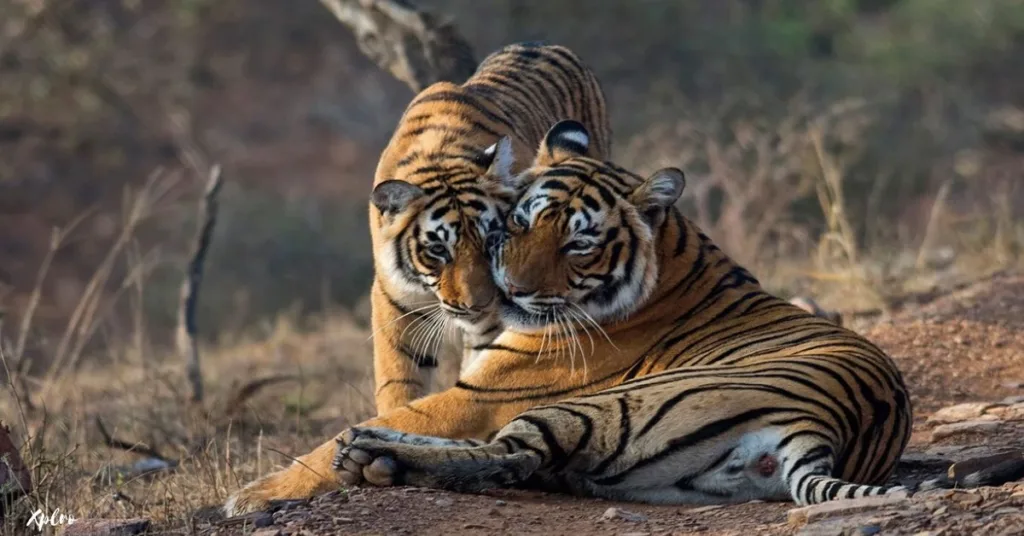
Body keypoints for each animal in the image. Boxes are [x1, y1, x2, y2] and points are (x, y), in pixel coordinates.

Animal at [224, 121, 913, 516]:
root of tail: (824, 429)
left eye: (579, 244)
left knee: (510, 455)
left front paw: (251, 495)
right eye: (518, 222)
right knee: (517, 459)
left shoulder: (487, 390)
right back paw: (374, 456)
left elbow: (396, 419)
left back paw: (369, 454)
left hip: (605, 405)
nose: (508, 290)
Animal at [366, 43, 610, 416]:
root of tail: (540, 45)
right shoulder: (396, 305)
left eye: (491, 239)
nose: (476, 306)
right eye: (438, 250)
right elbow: (399, 384)